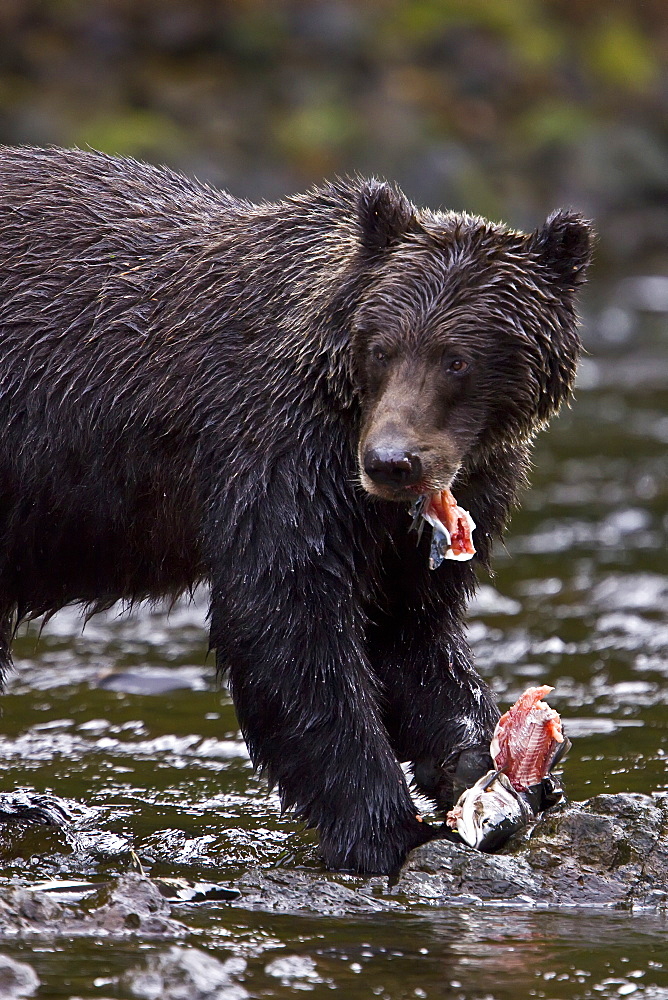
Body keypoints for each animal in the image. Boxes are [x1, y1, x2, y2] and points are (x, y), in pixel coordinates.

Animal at [0, 145, 588, 872]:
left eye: (459, 359)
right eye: (383, 347)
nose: (392, 462)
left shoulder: (451, 496)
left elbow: (413, 628)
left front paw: (488, 763)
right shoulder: (280, 454)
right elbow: (288, 621)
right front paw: (385, 827)